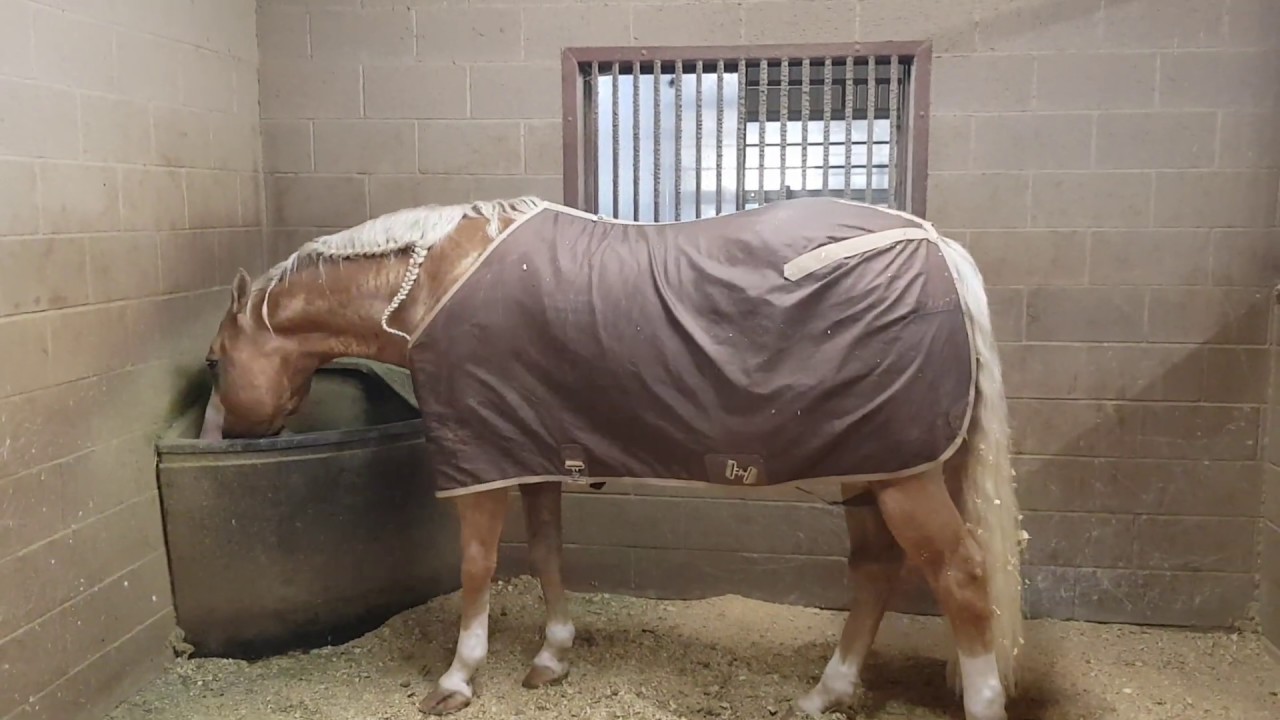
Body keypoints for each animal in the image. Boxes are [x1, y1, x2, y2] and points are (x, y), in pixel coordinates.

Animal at [199, 194, 1026, 720]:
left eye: (213, 360)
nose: (224, 439)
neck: (435, 282)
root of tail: (934, 243)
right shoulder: (531, 451)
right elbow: (547, 552)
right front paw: (551, 659)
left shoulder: (483, 461)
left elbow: (477, 568)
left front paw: (459, 679)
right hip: (870, 467)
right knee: (877, 571)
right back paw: (824, 694)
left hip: (903, 479)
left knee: (960, 576)